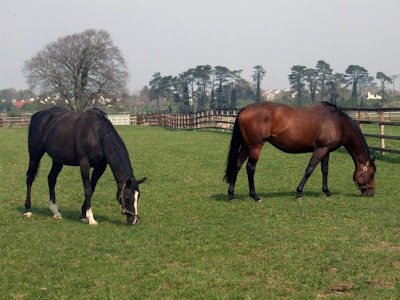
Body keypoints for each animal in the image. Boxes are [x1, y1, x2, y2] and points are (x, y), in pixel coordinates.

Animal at [225, 102, 376, 203]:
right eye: (372, 173)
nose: (371, 193)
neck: (337, 123)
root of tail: (245, 109)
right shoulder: (320, 149)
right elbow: (309, 169)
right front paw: (298, 193)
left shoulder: (326, 150)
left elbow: (325, 170)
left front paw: (327, 192)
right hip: (255, 147)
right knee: (250, 168)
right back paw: (255, 196)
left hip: (247, 146)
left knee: (237, 165)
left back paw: (231, 195)